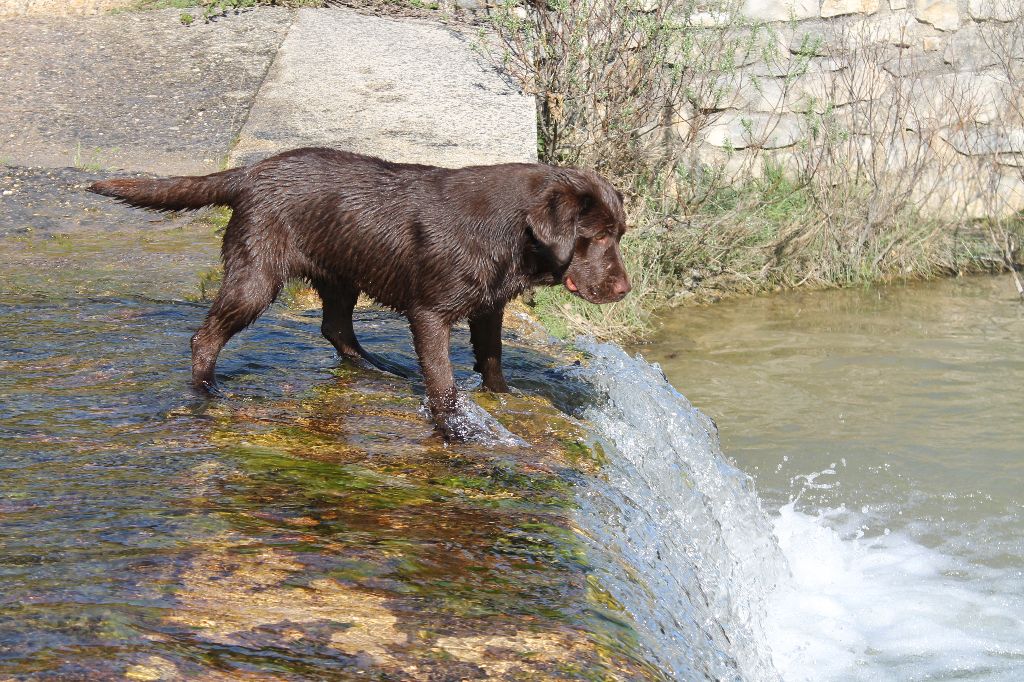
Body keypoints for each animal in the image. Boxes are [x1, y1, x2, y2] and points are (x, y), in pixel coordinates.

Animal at [90, 146, 630, 438]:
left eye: (620, 234)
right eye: (600, 236)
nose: (624, 289)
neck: (510, 232)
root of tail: (251, 171)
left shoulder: (488, 308)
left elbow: (493, 359)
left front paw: (503, 397)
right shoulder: (430, 313)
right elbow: (443, 382)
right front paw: (457, 431)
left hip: (340, 276)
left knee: (335, 328)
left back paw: (379, 368)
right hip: (256, 279)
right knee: (205, 337)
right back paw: (207, 390)